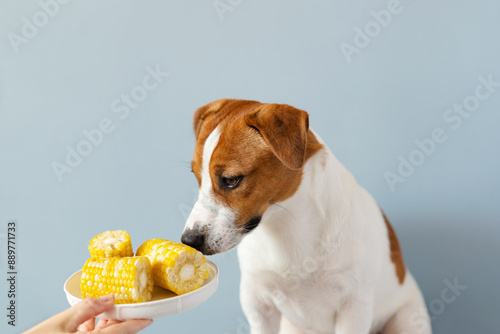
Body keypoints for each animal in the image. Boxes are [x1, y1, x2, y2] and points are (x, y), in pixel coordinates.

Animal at [182, 99, 432, 334]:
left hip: (406, 320)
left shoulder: (354, 308)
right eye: (196, 176)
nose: (189, 240)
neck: (288, 227)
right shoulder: (258, 303)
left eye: (231, 180)